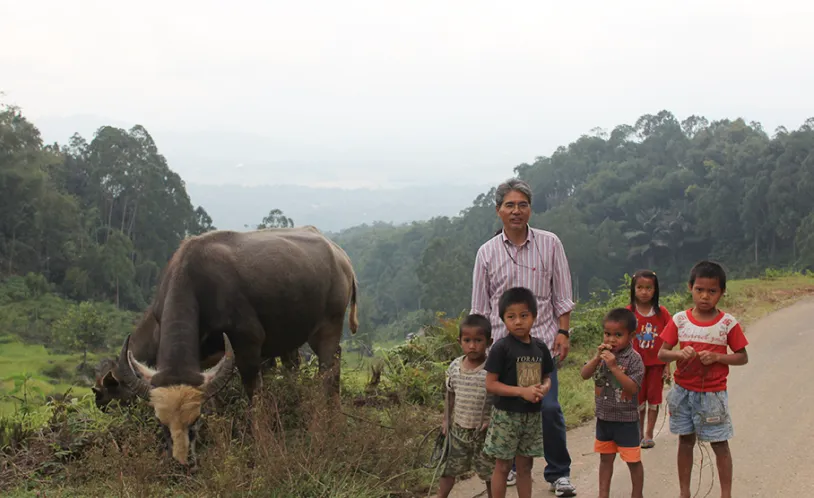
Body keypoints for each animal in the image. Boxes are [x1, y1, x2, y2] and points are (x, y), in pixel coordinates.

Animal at [114, 226, 359, 466]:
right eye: (161, 422)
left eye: (195, 420)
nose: (182, 461)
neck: (195, 280)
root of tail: (340, 256)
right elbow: (216, 405)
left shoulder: (248, 345)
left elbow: (254, 396)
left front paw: (263, 444)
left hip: (329, 326)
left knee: (328, 373)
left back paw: (327, 427)